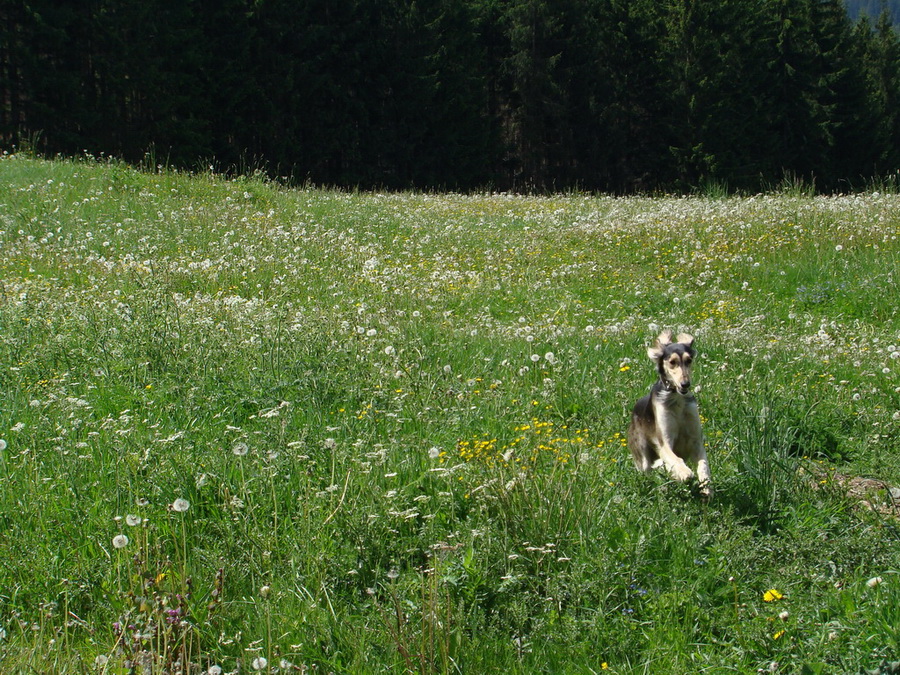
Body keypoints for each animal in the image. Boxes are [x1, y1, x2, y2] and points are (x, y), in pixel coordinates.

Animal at [624, 332, 712, 496]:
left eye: (689, 360)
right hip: (642, 455)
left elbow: (704, 465)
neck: (676, 400)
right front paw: (684, 473)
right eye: (672, 362)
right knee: (648, 469)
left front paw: (706, 487)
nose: (685, 384)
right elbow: (675, 460)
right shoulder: (664, 442)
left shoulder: (696, 441)